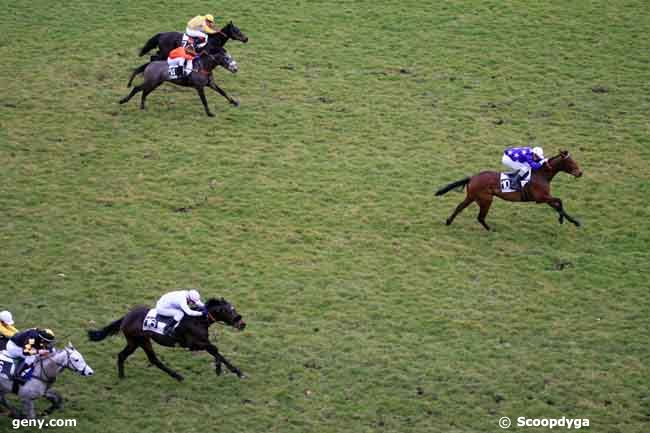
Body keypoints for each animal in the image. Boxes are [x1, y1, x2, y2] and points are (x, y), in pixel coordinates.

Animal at [87, 296, 244, 380]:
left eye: (234, 309)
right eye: (229, 310)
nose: (242, 324)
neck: (199, 320)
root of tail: (126, 317)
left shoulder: (203, 342)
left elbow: (216, 352)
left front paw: (235, 371)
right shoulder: (194, 344)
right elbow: (215, 349)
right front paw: (221, 369)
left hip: (134, 342)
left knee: (123, 355)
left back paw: (122, 376)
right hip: (142, 340)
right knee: (153, 359)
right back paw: (177, 376)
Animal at [436, 148, 584, 230]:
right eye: (570, 162)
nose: (580, 173)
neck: (541, 174)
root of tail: (472, 177)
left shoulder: (545, 198)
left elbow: (558, 205)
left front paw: (573, 221)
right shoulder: (541, 198)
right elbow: (559, 201)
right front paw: (564, 220)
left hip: (472, 197)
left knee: (460, 207)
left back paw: (449, 221)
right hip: (486, 199)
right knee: (480, 217)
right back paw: (490, 229)